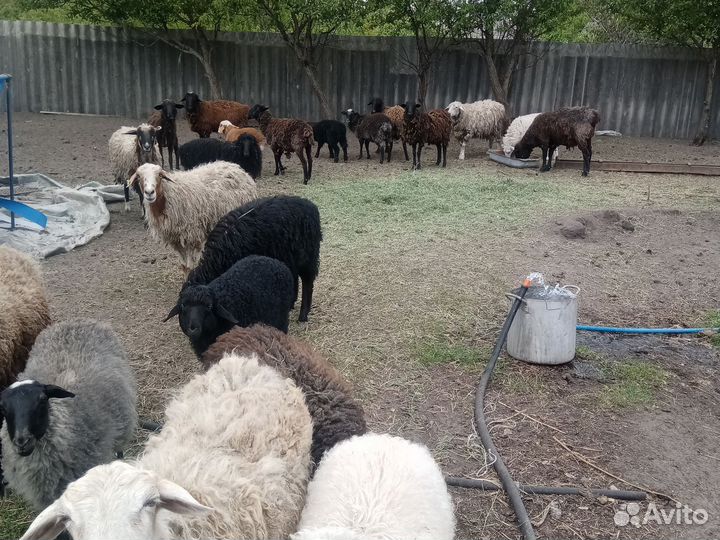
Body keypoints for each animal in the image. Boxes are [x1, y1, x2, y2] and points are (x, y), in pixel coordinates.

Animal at [128, 162, 257, 274]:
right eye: (139, 176)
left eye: (159, 175)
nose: (149, 192)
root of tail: (236, 168)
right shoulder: (176, 240)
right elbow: (184, 266)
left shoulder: (192, 236)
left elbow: (190, 267)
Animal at [185, 196, 322, 322]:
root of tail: (310, 206)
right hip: (290, 256)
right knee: (294, 276)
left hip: (308, 256)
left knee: (307, 282)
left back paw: (303, 315)